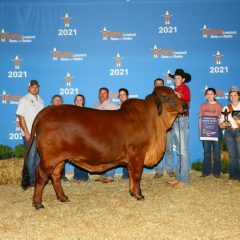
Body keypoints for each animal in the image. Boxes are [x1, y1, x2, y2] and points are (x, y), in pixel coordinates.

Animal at [22, 86, 188, 210]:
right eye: (168, 97)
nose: (186, 105)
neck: (152, 122)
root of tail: (47, 111)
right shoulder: (137, 155)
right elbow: (137, 175)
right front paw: (139, 195)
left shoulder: (131, 159)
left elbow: (130, 174)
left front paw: (132, 192)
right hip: (49, 158)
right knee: (41, 175)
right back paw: (38, 203)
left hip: (59, 159)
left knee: (55, 176)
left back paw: (63, 197)